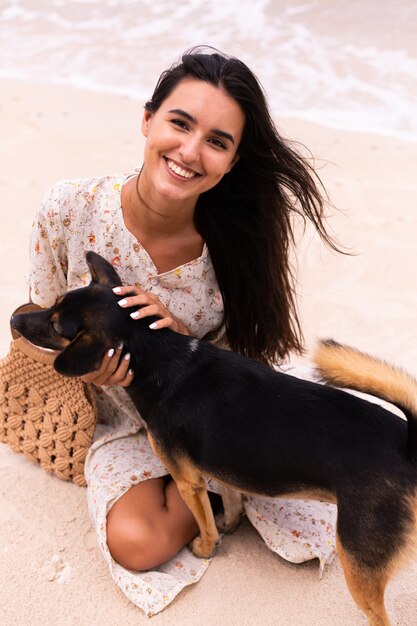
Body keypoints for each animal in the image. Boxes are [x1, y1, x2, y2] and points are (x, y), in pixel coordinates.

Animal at [11, 250, 416, 624]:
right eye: (55, 304)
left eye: (56, 324)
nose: (14, 318)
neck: (159, 356)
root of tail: (407, 443)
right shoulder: (221, 464)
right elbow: (232, 497)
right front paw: (229, 523)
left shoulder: (188, 481)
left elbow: (203, 521)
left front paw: (206, 548)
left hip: (358, 563)